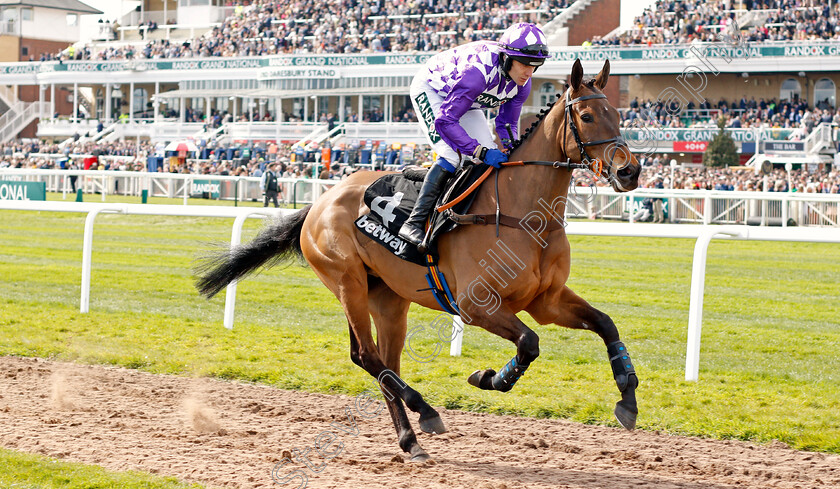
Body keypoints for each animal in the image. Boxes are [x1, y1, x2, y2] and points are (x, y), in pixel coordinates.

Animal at [199, 59, 644, 460]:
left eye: (618, 114)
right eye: (586, 115)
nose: (630, 171)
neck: (524, 216)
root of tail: (320, 202)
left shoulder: (546, 301)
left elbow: (605, 323)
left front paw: (627, 397)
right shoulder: (476, 306)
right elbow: (529, 343)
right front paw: (489, 377)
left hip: (389, 299)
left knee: (383, 362)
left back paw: (410, 440)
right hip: (347, 283)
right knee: (366, 356)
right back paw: (425, 410)